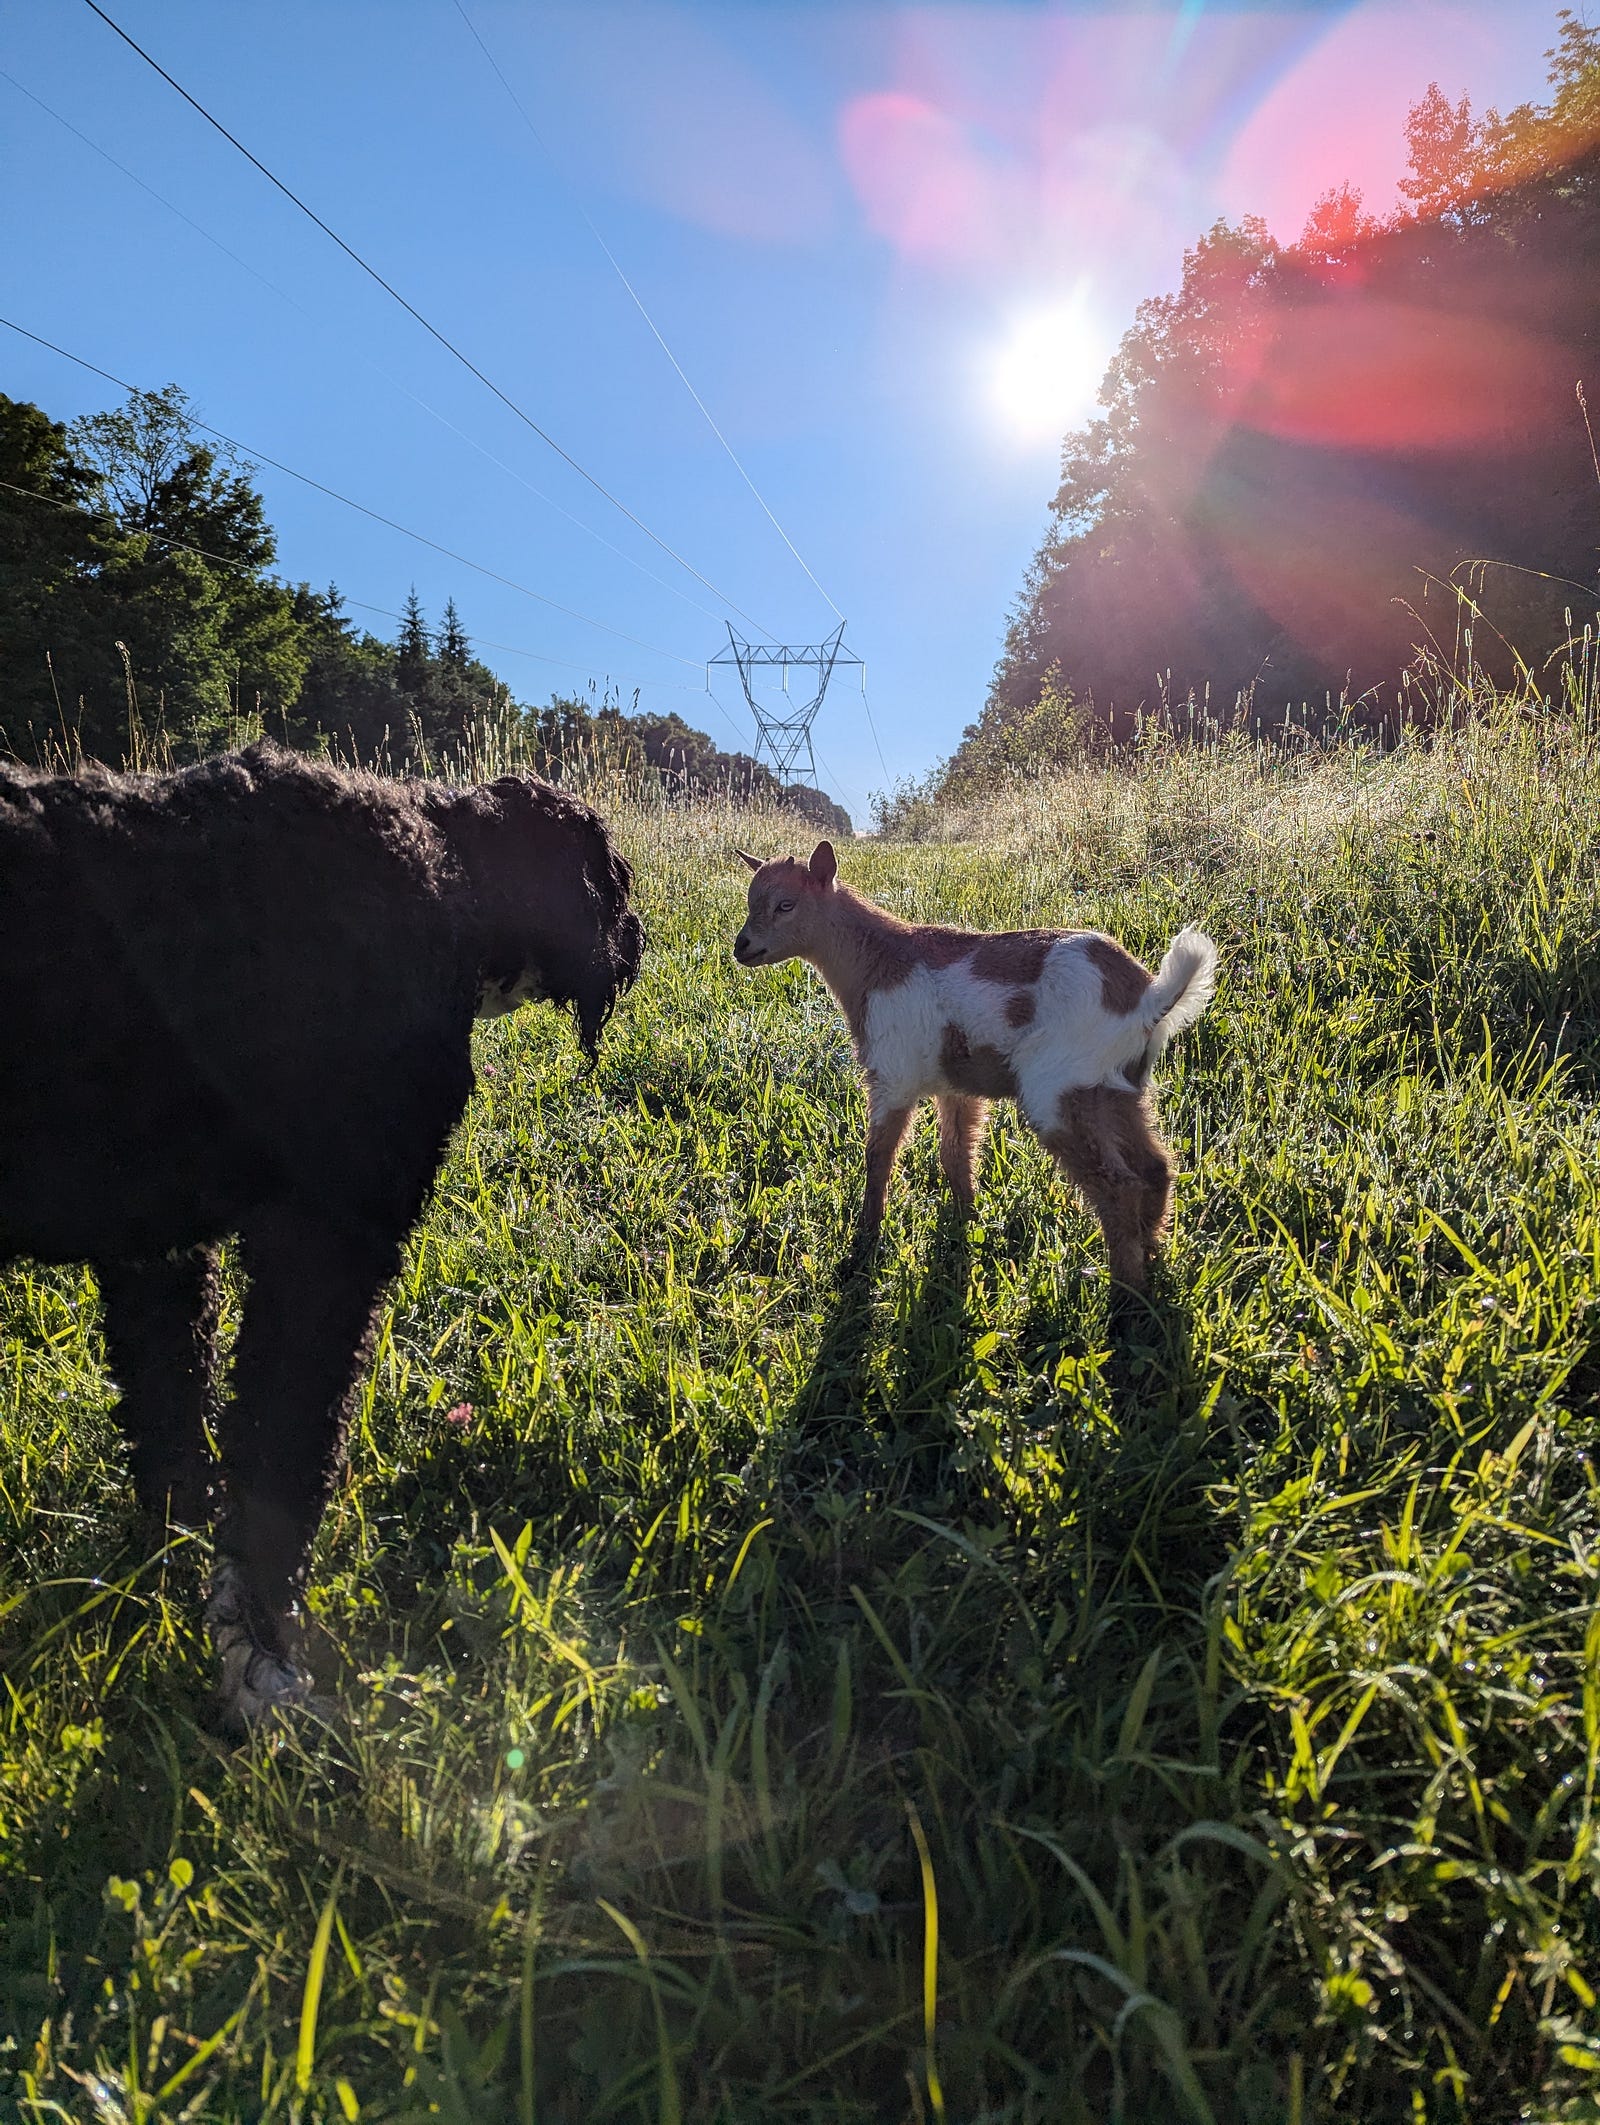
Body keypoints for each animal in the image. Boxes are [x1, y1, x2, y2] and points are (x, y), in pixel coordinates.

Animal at [734, 842, 1215, 1285]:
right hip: (1113, 1086)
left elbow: (879, 1154)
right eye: (751, 901)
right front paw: (968, 1221)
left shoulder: (892, 1074)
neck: (877, 960)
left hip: (1058, 1088)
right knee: (1155, 1168)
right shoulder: (955, 1085)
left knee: (1118, 1186)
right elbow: (955, 1153)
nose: (742, 947)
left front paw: (866, 1239)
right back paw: (1152, 1259)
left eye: (785, 905)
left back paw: (1125, 1298)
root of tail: (1146, 998)